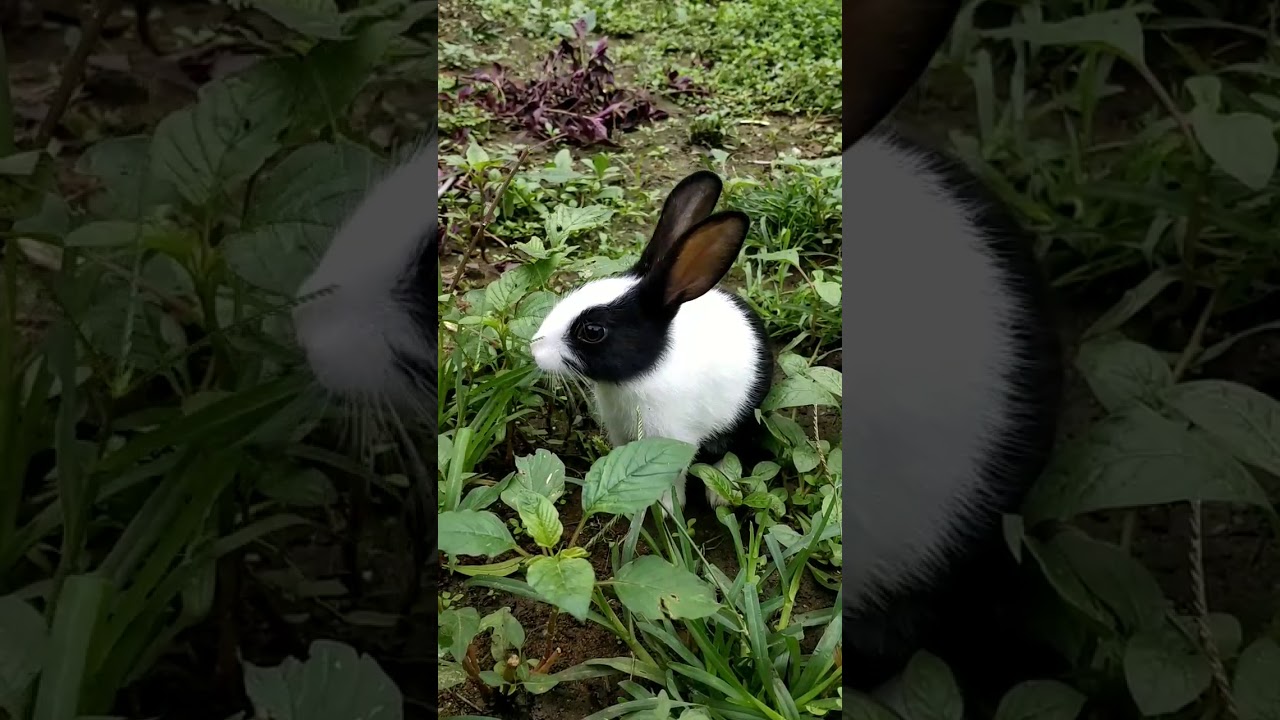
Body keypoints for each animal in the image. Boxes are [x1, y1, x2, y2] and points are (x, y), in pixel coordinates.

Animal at [529, 170, 773, 514]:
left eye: (592, 331)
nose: (534, 349)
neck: (636, 377)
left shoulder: (672, 438)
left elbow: (671, 476)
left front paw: (668, 509)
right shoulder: (619, 431)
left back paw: (720, 495)